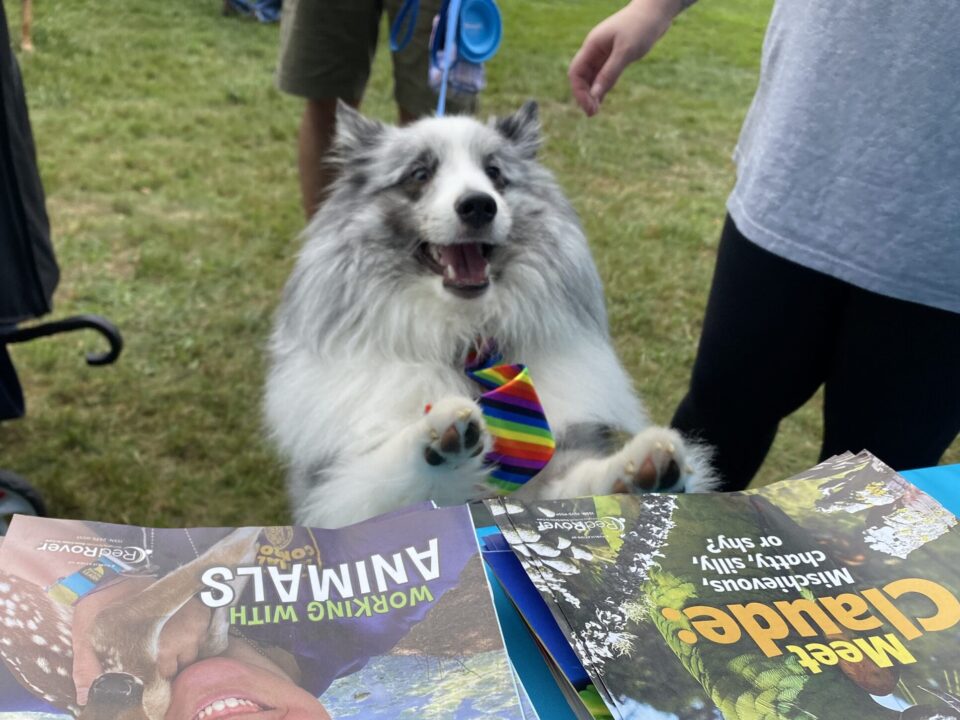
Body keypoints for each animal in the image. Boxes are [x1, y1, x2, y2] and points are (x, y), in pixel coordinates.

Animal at [264, 101, 712, 528]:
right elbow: (387, 480)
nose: (479, 205)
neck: (465, 343)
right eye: (419, 174)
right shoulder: (339, 493)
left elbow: (580, 483)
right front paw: (438, 433)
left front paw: (641, 468)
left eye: (495, 173)